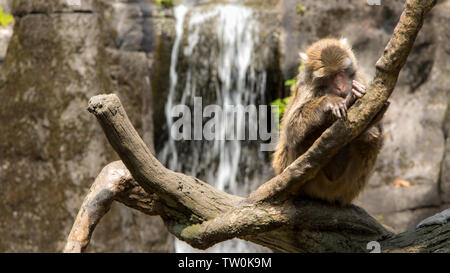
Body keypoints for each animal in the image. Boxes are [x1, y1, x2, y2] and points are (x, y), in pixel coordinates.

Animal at [272, 37, 388, 204]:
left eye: (340, 72)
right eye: (329, 76)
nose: (340, 87)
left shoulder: (359, 79)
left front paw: (353, 102)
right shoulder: (306, 88)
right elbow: (291, 128)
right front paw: (330, 102)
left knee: (372, 139)